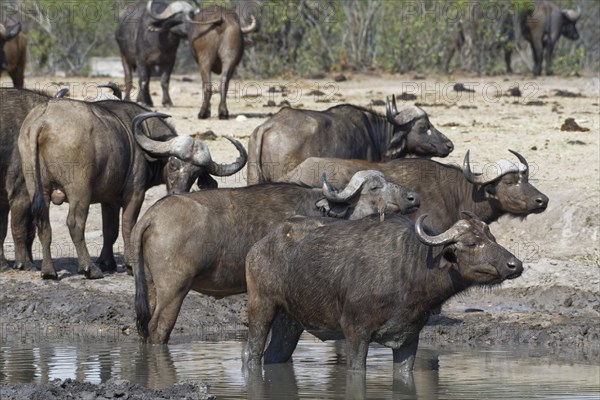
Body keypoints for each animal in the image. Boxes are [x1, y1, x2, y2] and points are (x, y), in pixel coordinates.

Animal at [18, 103, 246, 280]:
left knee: (43, 222)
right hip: (79, 190)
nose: (177, 194)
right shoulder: (135, 194)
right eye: (173, 164)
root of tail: (43, 121)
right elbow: (129, 225)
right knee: (75, 223)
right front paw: (129, 265)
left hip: (37, 187)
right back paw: (89, 269)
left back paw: (49, 271)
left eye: (196, 174)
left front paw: (108, 262)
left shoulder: (109, 200)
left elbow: (110, 229)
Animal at [133, 170, 420, 342]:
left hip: (150, 287)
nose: (412, 197)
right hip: (173, 291)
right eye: (375, 187)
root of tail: (152, 214)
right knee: (158, 329)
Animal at [243, 211, 520, 370]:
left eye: (493, 238)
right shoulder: (356, 333)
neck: (409, 272)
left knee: (273, 355)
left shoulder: (408, 340)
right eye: (472, 243)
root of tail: (259, 245)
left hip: (290, 322)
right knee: (251, 353)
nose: (515, 265)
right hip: (261, 307)